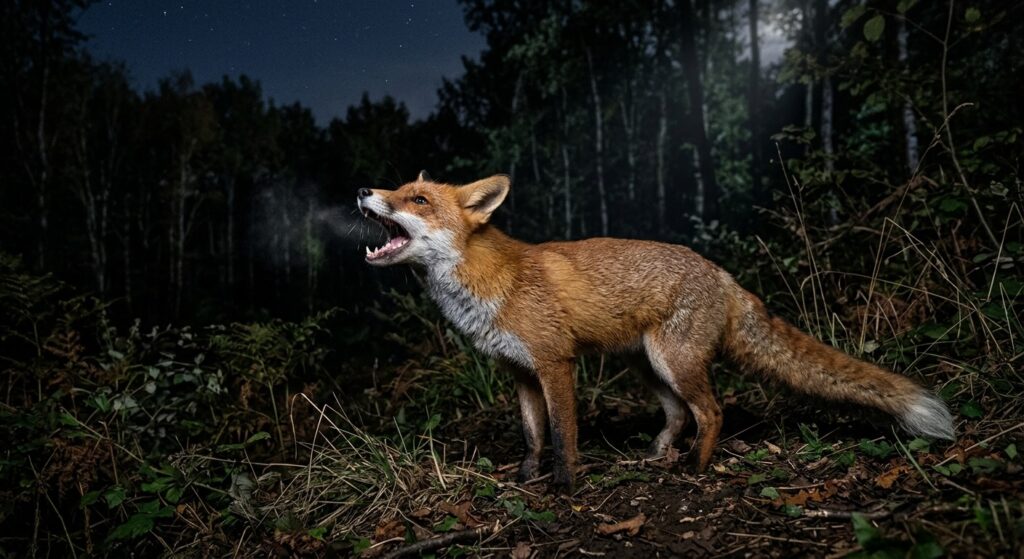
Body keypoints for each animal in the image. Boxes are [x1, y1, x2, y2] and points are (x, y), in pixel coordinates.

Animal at [356, 172, 955, 492]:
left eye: (418, 200)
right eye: (398, 189)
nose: (363, 191)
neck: (486, 282)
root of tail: (722, 273)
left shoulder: (554, 363)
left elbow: (563, 435)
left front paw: (565, 485)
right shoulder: (519, 371)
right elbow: (532, 435)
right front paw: (527, 477)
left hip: (675, 362)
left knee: (712, 411)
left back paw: (696, 465)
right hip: (646, 366)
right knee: (677, 414)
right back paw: (662, 453)